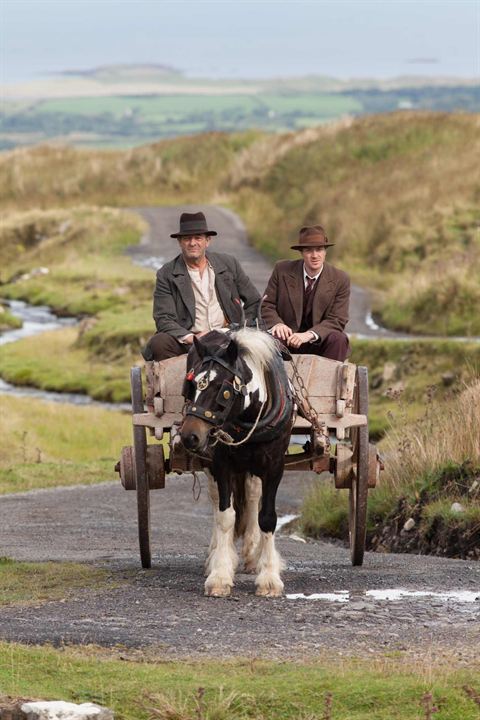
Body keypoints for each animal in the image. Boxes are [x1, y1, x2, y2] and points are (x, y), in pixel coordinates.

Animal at [179, 330, 292, 600]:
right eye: (191, 386)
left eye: (222, 388)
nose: (189, 436)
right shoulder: (221, 464)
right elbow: (225, 516)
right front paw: (219, 575)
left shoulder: (275, 466)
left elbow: (267, 518)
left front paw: (269, 578)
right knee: (216, 502)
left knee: (252, 496)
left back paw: (252, 554)